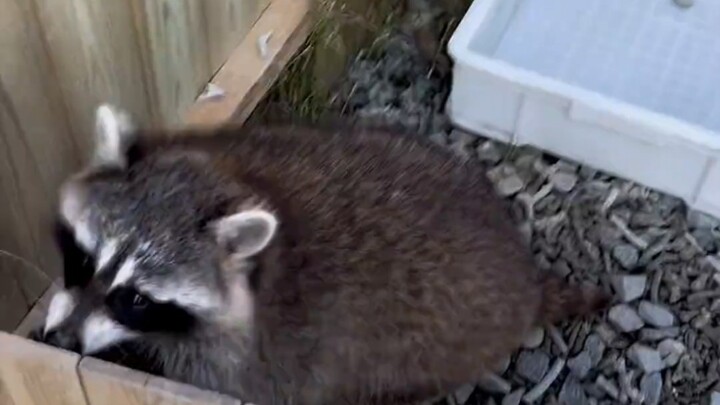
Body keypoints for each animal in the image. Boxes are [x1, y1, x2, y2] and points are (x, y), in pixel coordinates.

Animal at [32, 104, 609, 404]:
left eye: (136, 299)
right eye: (83, 259)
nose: (59, 341)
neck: (231, 176)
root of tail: (522, 272)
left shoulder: (245, 361)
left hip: (420, 362)